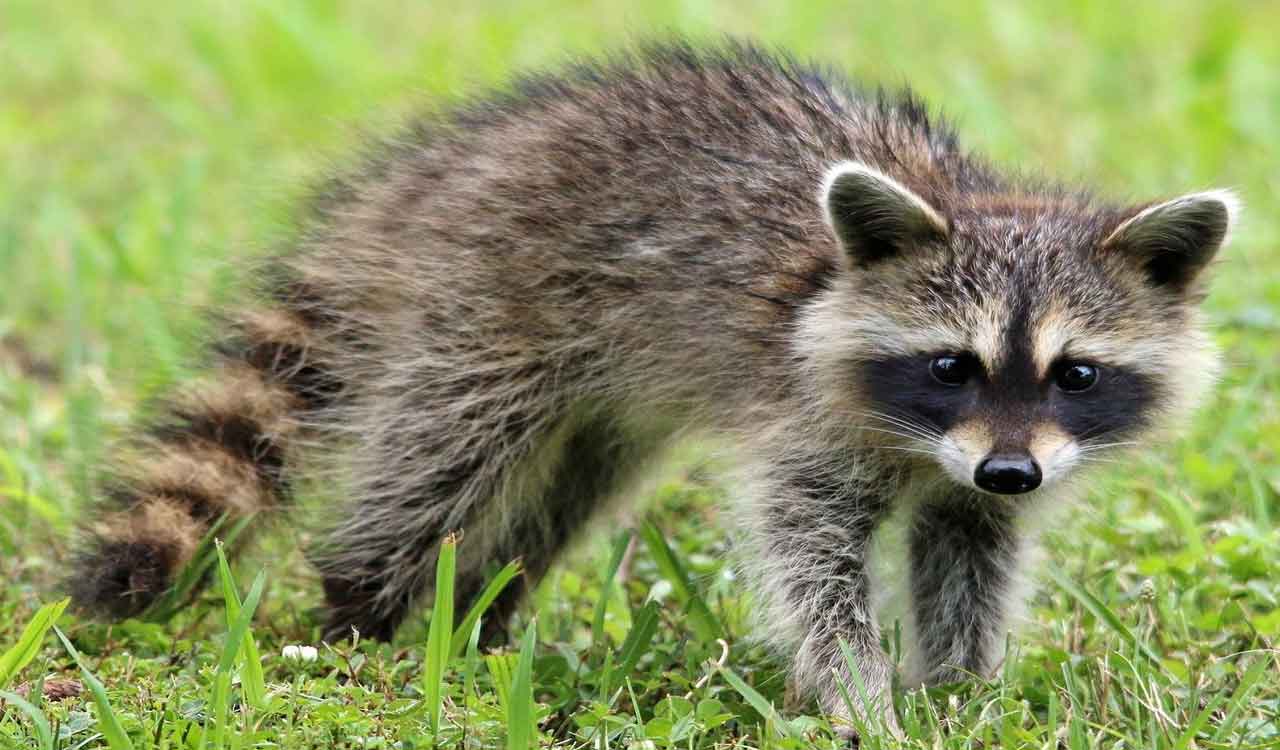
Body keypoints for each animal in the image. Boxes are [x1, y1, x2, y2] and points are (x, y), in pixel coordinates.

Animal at [67, 41, 1236, 732]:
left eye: (1075, 374)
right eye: (951, 365)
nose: (1008, 471)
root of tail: (447, 166)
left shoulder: (986, 469)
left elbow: (969, 553)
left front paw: (958, 688)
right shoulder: (808, 418)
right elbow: (808, 555)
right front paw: (858, 692)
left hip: (599, 390)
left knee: (564, 488)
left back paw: (486, 609)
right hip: (490, 305)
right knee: (440, 458)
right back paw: (364, 606)